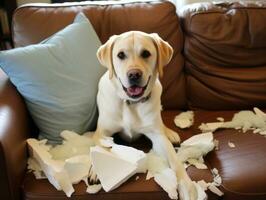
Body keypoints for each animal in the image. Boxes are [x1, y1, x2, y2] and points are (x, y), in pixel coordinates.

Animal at [93, 31, 197, 200]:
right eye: (120, 55)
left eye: (146, 53)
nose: (134, 74)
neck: (131, 103)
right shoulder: (102, 132)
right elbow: (101, 147)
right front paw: (96, 170)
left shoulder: (157, 136)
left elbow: (174, 160)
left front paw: (187, 186)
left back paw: (170, 133)